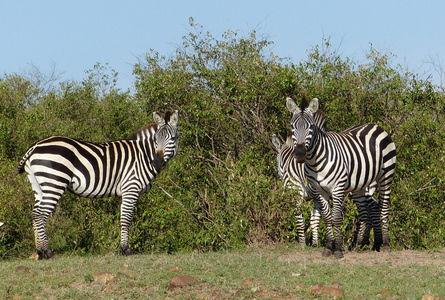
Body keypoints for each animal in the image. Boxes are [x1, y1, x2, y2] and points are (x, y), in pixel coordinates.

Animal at [15, 111, 179, 258]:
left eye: (172, 138)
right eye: (156, 139)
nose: (157, 162)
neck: (143, 156)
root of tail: (36, 146)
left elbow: (123, 218)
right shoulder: (131, 187)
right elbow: (126, 219)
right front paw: (125, 250)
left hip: (39, 186)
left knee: (35, 214)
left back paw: (40, 252)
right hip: (54, 182)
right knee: (41, 215)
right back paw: (47, 252)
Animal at [288, 96, 396, 258]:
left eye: (310, 127)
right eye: (292, 126)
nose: (300, 154)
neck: (315, 161)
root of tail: (375, 125)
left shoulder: (337, 188)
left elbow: (336, 218)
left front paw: (338, 249)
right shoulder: (319, 190)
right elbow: (327, 218)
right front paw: (328, 248)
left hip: (386, 176)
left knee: (383, 208)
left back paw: (386, 245)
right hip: (360, 184)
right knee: (365, 212)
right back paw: (363, 245)